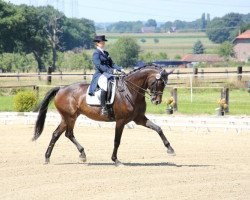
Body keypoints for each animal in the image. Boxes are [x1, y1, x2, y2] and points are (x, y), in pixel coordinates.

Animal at [32, 65, 175, 166]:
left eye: (164, 84)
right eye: (157, 83)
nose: (156, 101)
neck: (130, 90)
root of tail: (61, 89)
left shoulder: (139, 118)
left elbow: (158, 128)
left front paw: (170, 149)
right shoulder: (121, 121)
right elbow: (117, 140)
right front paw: (116, 160)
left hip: (68, 117)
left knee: (58, 134)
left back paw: (49, 157)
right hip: (70, 117)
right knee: (68, 133)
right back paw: (79, 154)